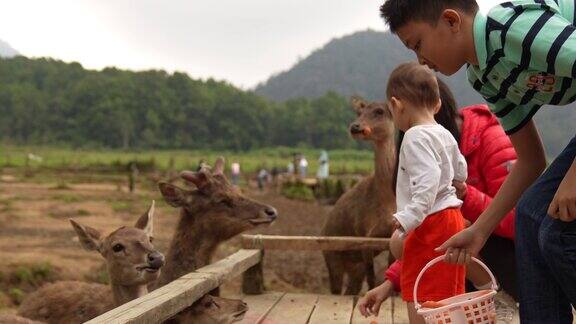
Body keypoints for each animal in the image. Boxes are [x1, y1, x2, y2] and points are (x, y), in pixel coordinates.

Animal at [322, 97, 398, 296]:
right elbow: (372, 280)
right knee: (336, 288)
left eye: (379, 111)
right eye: (359, 112)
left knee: (351, 288)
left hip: (354, 266)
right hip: (331, 255)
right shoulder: (364, 234)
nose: (355, 127)